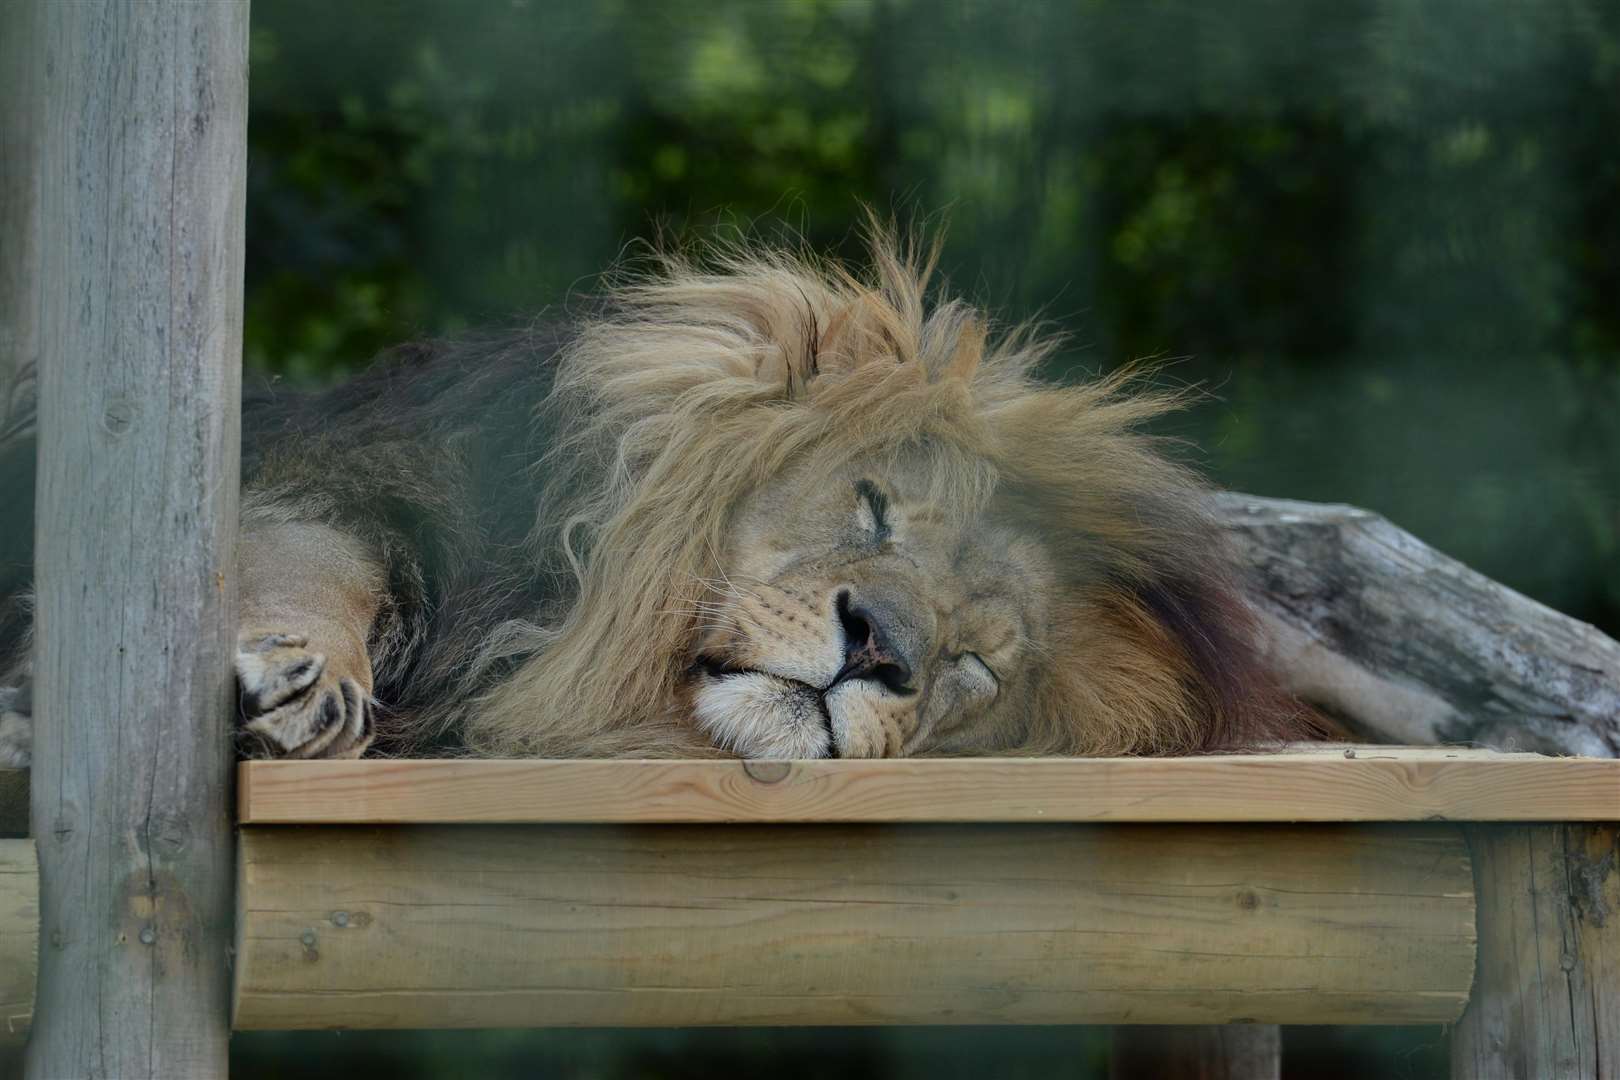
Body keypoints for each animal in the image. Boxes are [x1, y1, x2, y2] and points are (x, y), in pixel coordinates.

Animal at [0, 231, 1315, 764]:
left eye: (976, 667)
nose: (880, 649)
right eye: (875, 509)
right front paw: (303, 682)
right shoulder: (330, 475)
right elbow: (312, 571)